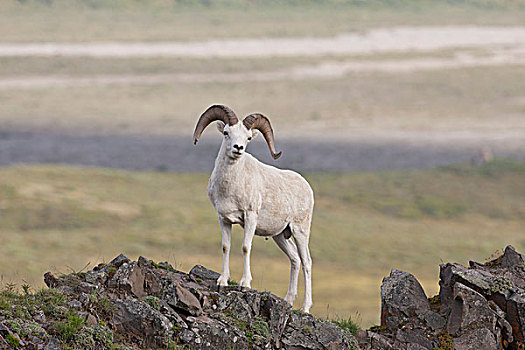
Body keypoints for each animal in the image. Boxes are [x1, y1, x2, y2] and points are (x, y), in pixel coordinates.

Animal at [193, 104, 314, 312]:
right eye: (226, 133)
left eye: (248, 138)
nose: (238, 148)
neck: (231, 186)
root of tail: (306, 187)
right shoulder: (224, 219)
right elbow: (226, 246)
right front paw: (222, 281)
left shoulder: (250, 217)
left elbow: (245, 247)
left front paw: (245, 284)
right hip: (280, 235)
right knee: (295, 259)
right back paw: (288, 301)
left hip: (300, 231)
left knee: (306, 262)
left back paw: (305, 308)